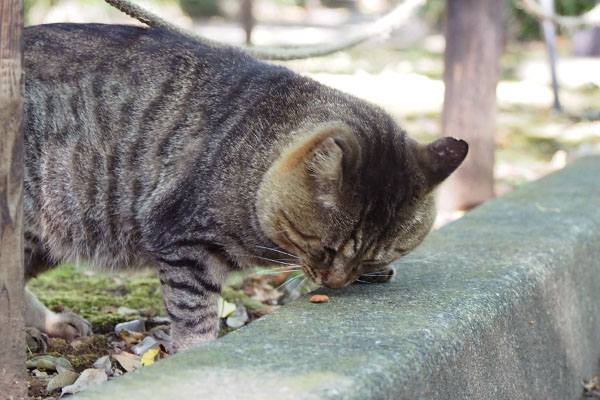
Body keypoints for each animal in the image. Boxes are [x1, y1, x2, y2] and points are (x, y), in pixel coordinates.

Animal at [23, 23, 466, 352]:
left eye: (373, 255)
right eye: (326, 248)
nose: (337, 282)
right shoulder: (185, 245)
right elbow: (194, 310)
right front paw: (197, 352)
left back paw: (53, 324)